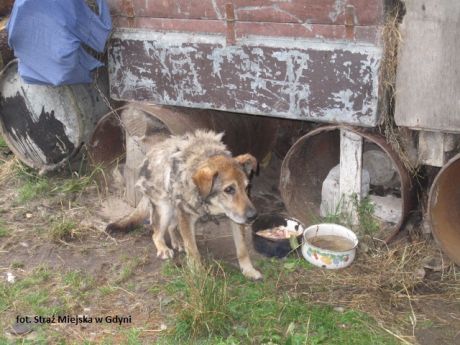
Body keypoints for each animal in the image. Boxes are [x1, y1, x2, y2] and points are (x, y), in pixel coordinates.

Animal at [105, 130, 262, 278]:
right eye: (229, 189)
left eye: (247, 187)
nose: (253, 216)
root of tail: (149, 157)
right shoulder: (186, 216)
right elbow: (193, 250)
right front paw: (199, 275)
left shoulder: (235, 219)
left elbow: (242, 249)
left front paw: (249, 270)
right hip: (166, 209)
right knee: (156, 234)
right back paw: (163, 249)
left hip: (175, 211)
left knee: (171, 228)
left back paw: (178, 242)